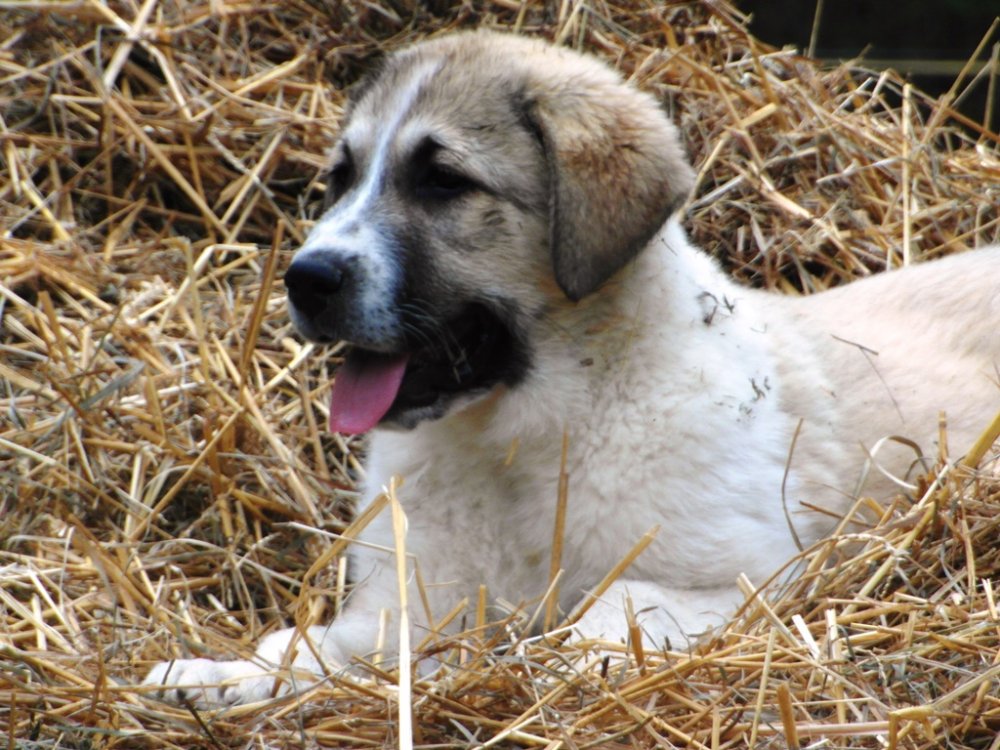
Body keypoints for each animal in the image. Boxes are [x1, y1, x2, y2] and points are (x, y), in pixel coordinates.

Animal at [145, 30, 996, 712]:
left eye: (443, 183)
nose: (306, 278)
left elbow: (607, 614)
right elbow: (312, 648)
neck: (525, 436)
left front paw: (531, 667)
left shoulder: (739, 580)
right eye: (341, 178)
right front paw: (219, 676)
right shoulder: (407, 609)